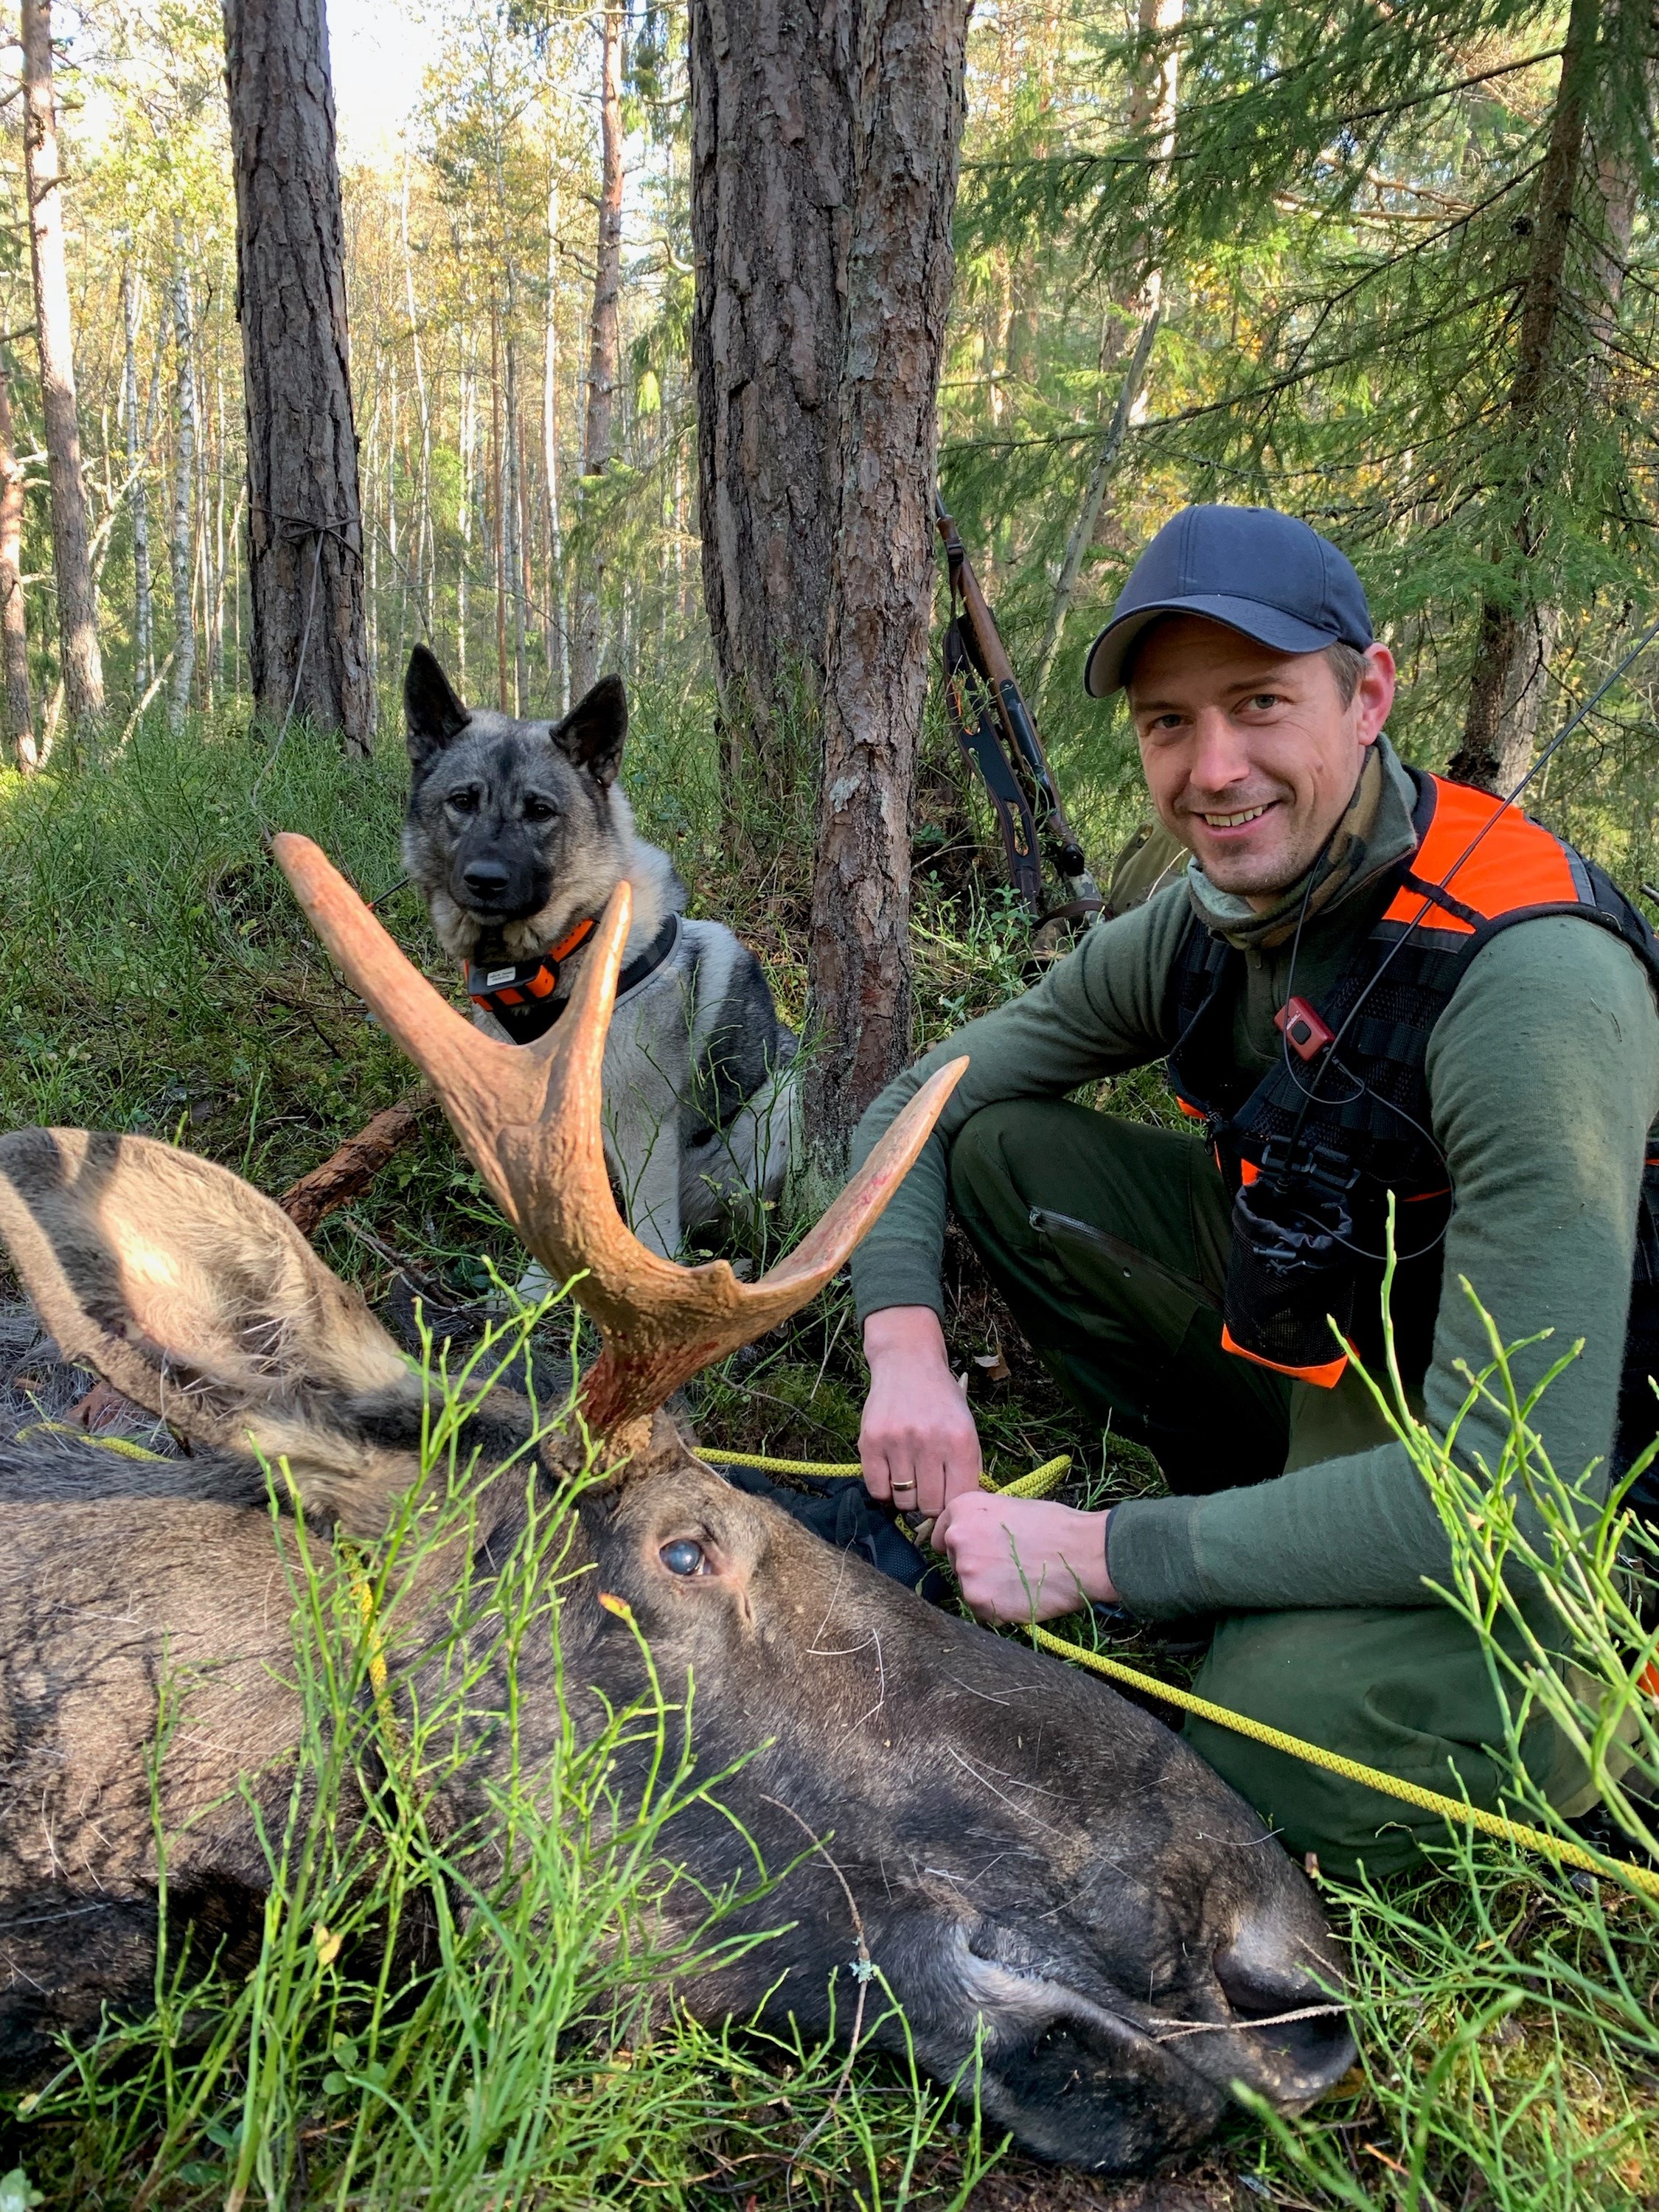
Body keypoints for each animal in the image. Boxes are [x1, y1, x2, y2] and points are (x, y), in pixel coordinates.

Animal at [402, 645, 799, 1263]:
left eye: (541, 811)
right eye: (462, 802)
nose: (485, 880)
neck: (557, 960)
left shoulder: (640, 1135)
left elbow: (651, 1232)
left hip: (774, 1112)